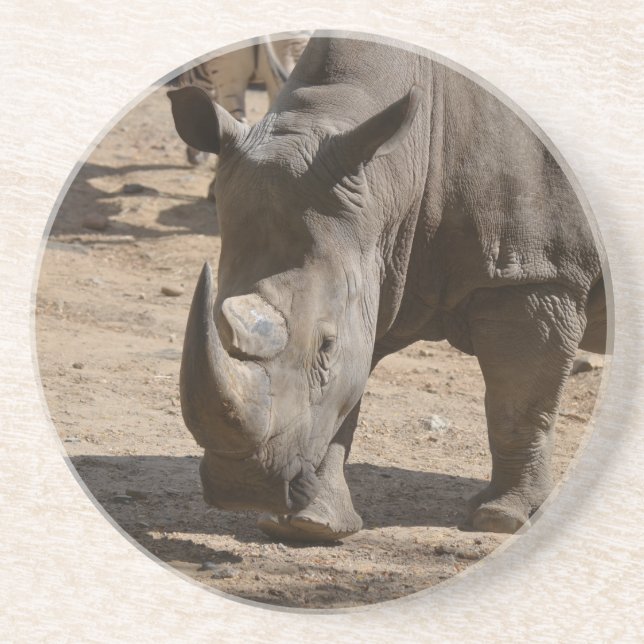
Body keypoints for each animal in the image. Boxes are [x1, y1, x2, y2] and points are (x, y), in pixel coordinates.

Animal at [168, 35, 607, 541]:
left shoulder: (538, 272)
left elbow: (519, 402)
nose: (241, 488)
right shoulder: (375, 260)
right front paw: (311, 527)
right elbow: (346, 400)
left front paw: (501, 519)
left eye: (325, 346)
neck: (390, 175)